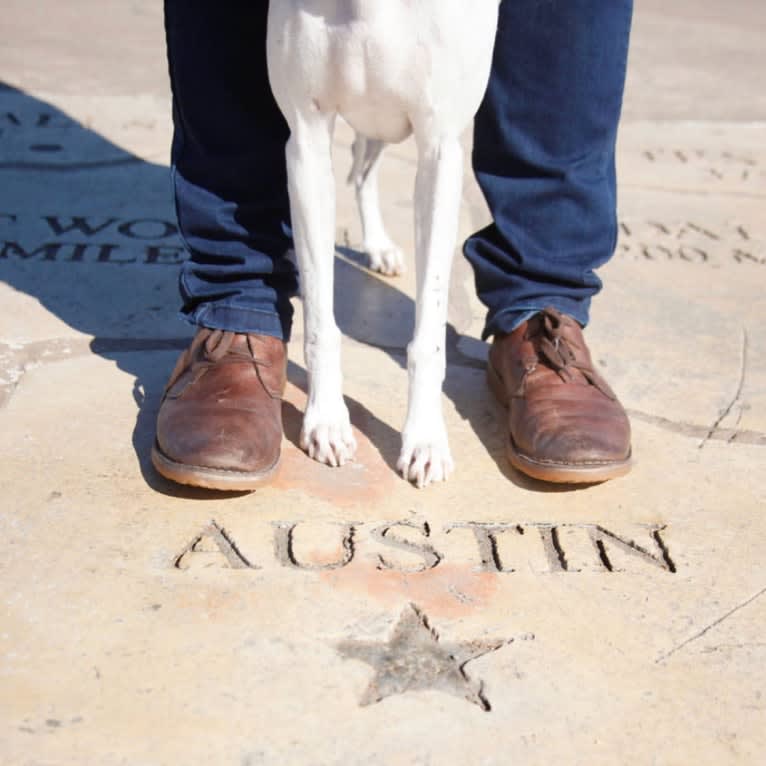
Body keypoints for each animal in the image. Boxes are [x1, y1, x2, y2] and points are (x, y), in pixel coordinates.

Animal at [268, 0, 500, 488]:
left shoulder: (439, 150)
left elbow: (429, 336)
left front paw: (425, 439)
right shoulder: (307, 140)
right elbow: (320, 322)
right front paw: (326, 420)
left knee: (363, 170)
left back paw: (378, 244)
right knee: (360, 172)